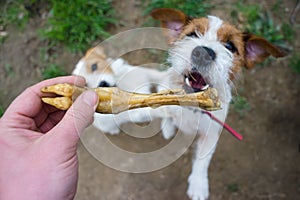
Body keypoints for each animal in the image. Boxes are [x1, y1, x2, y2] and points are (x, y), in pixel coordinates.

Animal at [72, 7, 286, 200]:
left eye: (230, 46)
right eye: (191, 34)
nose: (202, 52)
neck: (191, 107)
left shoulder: (211, 132)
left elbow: (203, 159)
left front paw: (198, 185)